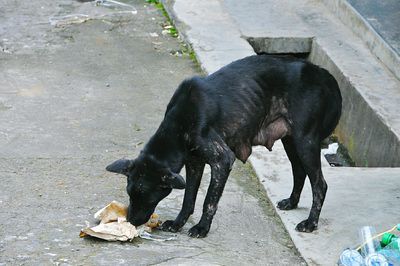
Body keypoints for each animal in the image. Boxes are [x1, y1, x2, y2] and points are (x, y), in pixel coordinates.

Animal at [107, 54, 344, 237]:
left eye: (146, 194)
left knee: (320, 185)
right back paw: (292, 202)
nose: (131, 221)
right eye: (129, 193)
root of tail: (325, 75)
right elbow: (188, 198)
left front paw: (202, 228)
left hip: (306, 142)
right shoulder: (194, 163)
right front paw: (178, 223)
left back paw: (311, 223)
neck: (180, 122)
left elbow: (208, 201)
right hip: (291, 142)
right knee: (300, 172)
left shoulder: (222, 161)